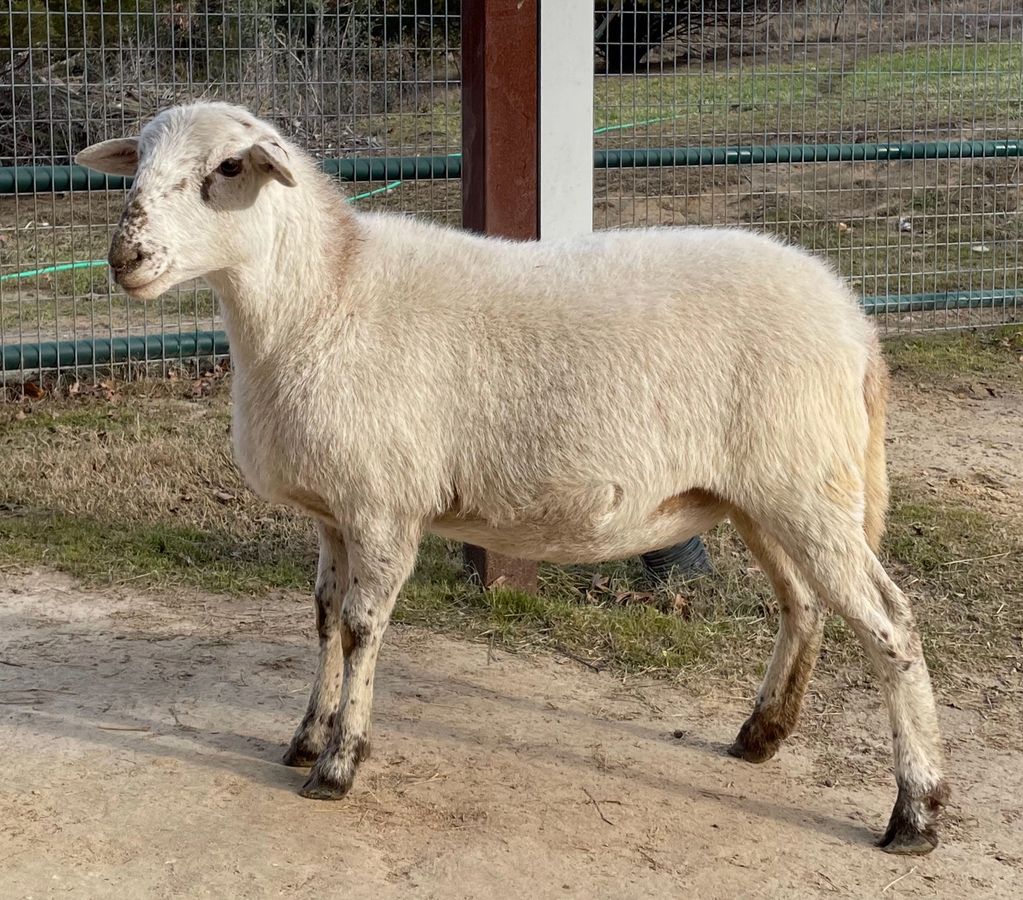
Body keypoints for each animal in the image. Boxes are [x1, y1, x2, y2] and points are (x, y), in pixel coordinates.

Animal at [79, 101, 949, 855]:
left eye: (227, 168)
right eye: (137, 162)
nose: (125, 257)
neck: (325, 296)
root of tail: (853, 320)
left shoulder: (382, 504)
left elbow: (360, 629)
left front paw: (339, 764)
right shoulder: (331, 511)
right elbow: (323, 619)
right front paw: (305, 737)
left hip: (807, 483)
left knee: (890, 623)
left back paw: (915, 810)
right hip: (756, 494)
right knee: (802, 604)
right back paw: (761, 736)